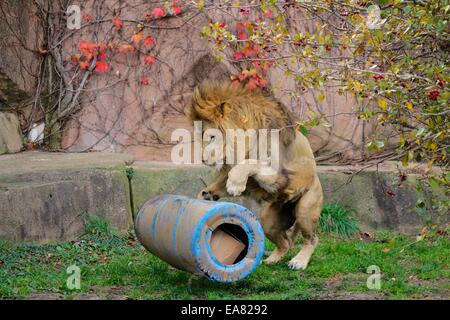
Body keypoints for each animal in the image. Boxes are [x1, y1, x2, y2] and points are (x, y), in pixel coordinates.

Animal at [186, 80, 324, 270]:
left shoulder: (279, 176)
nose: (203, 159)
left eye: (212, 136)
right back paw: (271, 260)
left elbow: (250, 163)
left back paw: (299, 262)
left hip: (305, 209)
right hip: (268, 220)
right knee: (286, 243)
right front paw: (206, 195)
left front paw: (234, 185)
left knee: (312, 239)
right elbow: (224, 180)